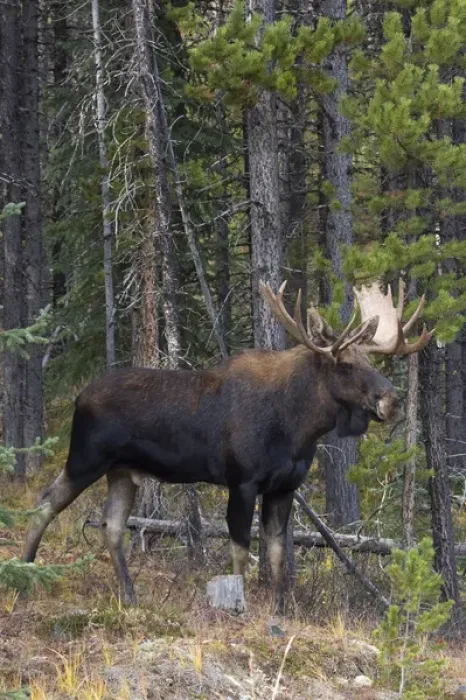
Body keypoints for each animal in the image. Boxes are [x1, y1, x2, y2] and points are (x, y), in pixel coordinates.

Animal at [22, 279, 433, 613]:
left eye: (370, 360)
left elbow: (277, 554)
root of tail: (78, 398)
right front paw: (240, 605)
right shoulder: (242, 480)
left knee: (112, 525)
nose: (391, 400)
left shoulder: (284, 487)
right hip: (86, 458)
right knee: (45, 503)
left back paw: (130, 595)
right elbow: (241, 549)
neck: (299, 428)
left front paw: (279, 611)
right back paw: (25, 570)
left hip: (122, 472)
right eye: (345, 364)